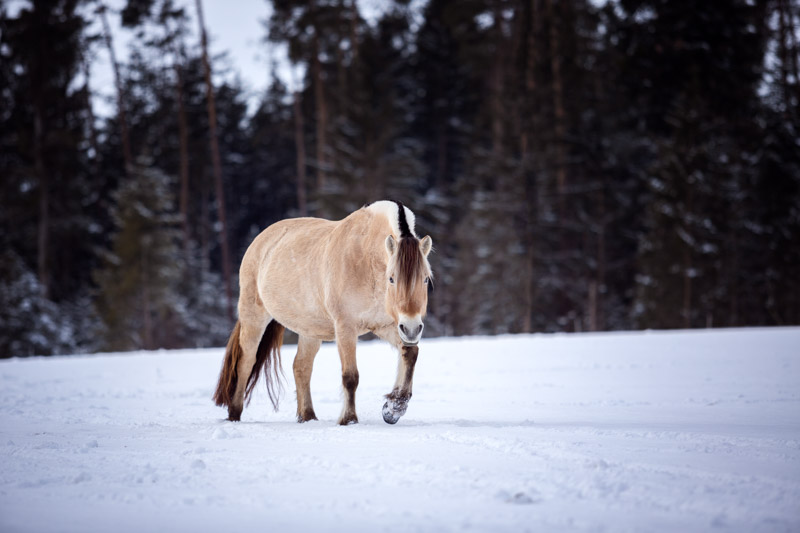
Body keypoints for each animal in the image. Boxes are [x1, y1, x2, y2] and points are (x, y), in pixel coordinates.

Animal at [212, 200, 434, 424]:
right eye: (391, 278)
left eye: (425, 278)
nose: (413, 328)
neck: (366, 257)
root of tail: (260, 239)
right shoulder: (345, 327)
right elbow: (350, 376)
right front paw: (349, 419)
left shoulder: (387, 325)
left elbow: (410, 353)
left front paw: (393, 408)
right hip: (254, 316)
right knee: (246, 362)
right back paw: (234, 414)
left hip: (310, 330)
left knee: (301, 367)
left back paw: (308, 416)